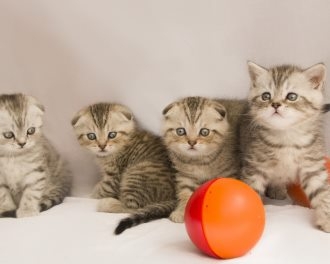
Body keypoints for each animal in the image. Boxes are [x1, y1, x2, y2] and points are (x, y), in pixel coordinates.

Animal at [71, 102, 177, 234]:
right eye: (91, 136)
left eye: (112, 134)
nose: (102, 146)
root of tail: (174, 198)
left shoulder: (114, 177)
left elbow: (102, 190)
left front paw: (89, 194)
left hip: (135, 173)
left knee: (134, 208)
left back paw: (108, 204)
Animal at [240, 61, 330, 231]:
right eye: (266, 96)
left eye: (291, 96)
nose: (275, 104)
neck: (286, 137)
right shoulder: (256, 165)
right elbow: (252, 189)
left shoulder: (312, 165)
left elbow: (322, 191)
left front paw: (327, 219)